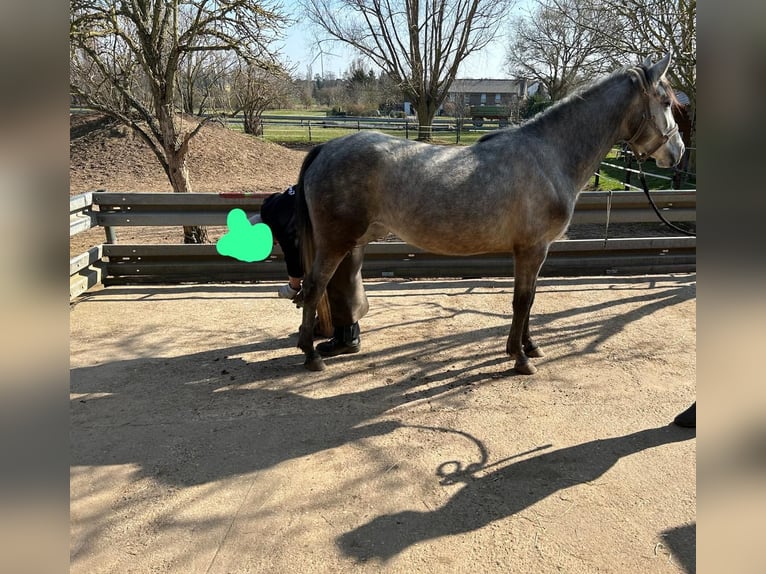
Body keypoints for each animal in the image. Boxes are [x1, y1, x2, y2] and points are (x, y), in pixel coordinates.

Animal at [292, 54, 684, 376]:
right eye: (665, 102)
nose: (678, 152)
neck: (550, 155)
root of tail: (326, 148)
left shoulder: (533, 251)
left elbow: (530, 298)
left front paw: (530, 346)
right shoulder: (532, 249)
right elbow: (522, 300)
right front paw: (520, 357)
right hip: (334, 243)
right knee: (314, 288)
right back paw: (312, 356)